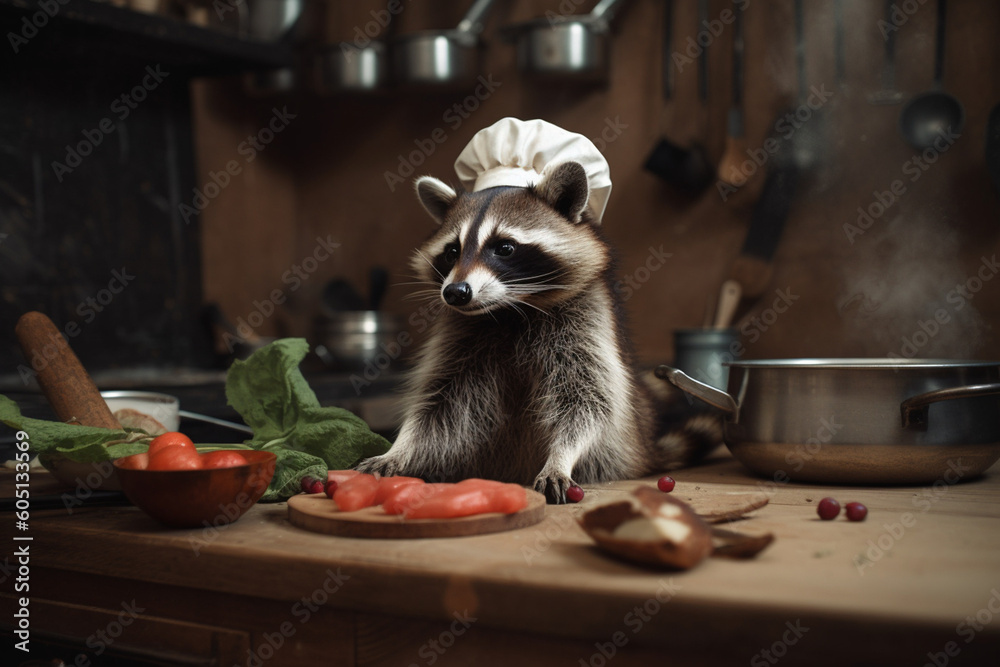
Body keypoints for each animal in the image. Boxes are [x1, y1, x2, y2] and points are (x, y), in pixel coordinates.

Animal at [356, 161, 721, 503]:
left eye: (504, 248)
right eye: (452, 251)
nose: (455, 293)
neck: (509, 310)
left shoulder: (585, 325)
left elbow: (588, 401)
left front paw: (560, 458)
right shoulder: (458, 338)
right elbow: (435, 405)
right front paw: (400, 447)